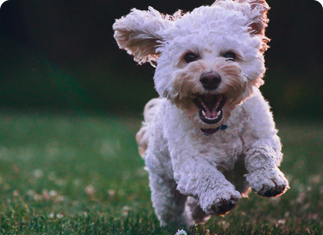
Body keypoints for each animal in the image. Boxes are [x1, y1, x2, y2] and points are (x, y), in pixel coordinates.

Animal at [113, 0, 288, 228]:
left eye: (230, 55)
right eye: (190, 57)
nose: (210, 78)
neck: (220, 126)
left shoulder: (263, 135)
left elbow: (262, 152)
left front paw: (269, 180)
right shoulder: (188, 163)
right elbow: (205, 173)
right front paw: (219, 197)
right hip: (163, 184)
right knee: (171, 209)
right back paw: (183, 223)